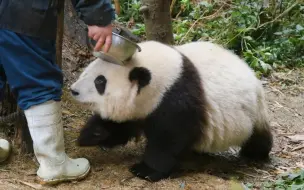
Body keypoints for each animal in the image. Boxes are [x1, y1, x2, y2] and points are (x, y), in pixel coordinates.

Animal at [69, 40, 274, 183]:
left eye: (100, 81)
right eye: (87, 71)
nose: (73, 90)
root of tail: (252, 76)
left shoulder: (175, 99)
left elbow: (168, 139)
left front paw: (145, 170)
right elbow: (122, 125)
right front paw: (92, 134)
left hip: (251, 112)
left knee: (257, 136)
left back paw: (255, 154)